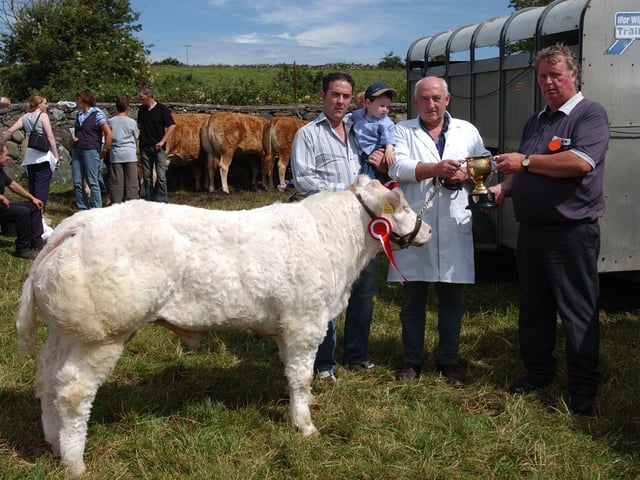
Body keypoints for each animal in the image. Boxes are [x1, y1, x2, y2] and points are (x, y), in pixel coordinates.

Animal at [16, 175, 431, 476]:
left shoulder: (286, 326)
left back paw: (52, 440)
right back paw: (74, 461)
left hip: (67, 333)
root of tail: (82, 221)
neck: (334, 240)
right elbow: (301, 377)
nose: (426, 230)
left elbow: (292, 375)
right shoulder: (305, 323)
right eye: (403, 206)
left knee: (47, 378)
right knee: (73, 392)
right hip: (101, 335)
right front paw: (305, 426)